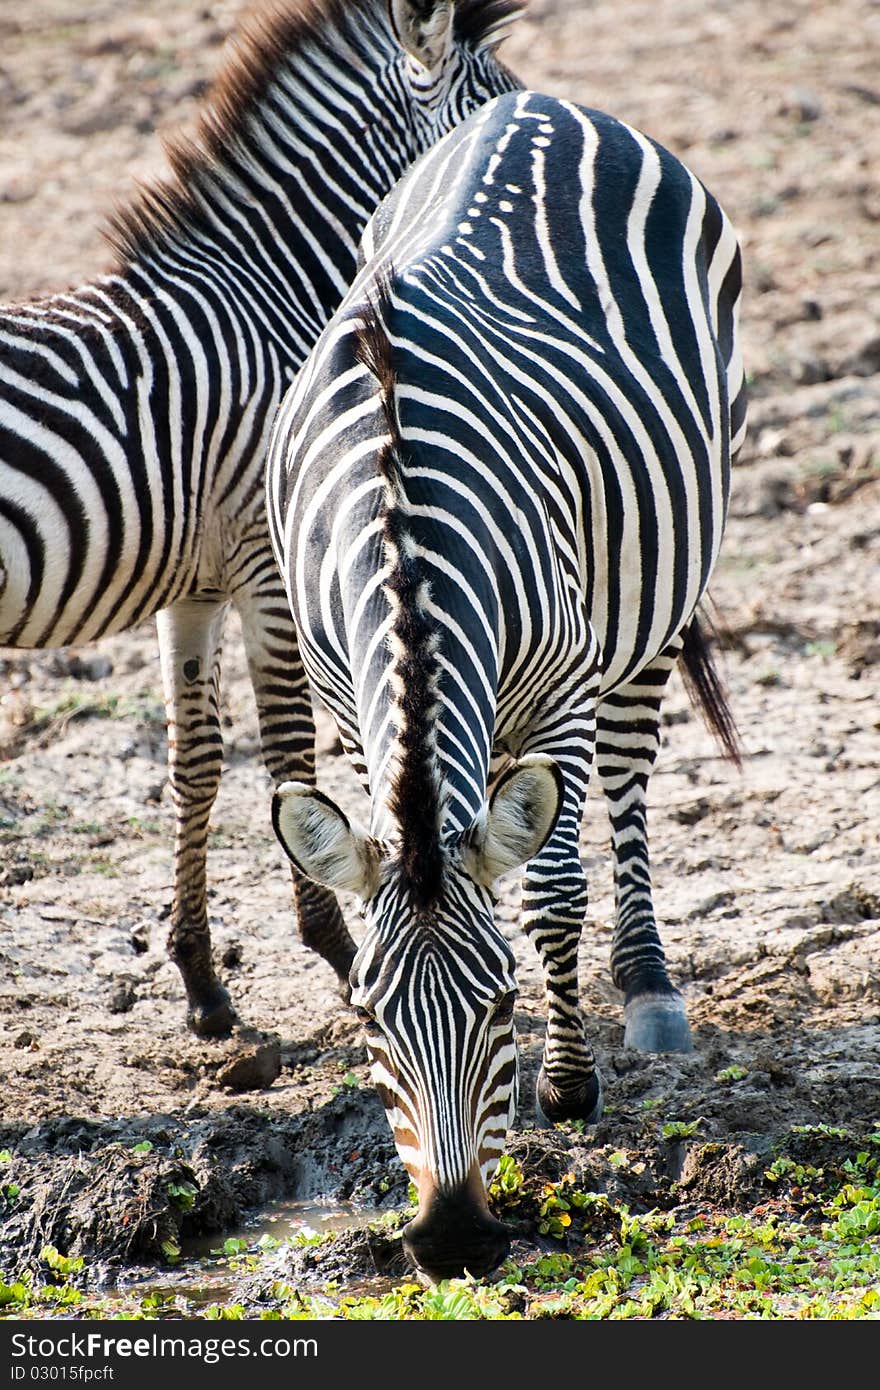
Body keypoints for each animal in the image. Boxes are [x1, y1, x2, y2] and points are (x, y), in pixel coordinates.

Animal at [0, 0, 522, 1039]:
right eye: (499, 107)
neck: (267, 290)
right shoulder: (273, 565)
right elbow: (287, 759)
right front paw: (343, 952)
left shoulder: (195, 585)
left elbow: (194, 763)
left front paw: (203, 983)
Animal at [269, 86, 750, 1278]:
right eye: (367, 1018)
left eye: (498, 1004)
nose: (450, 1239)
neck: (401, 527)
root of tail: (539, 102)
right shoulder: (346, 699)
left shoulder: (563, 687)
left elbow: (552, 888)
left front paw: (567, 1089)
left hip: (659, 582)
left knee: (628, 777)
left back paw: (647, 987)